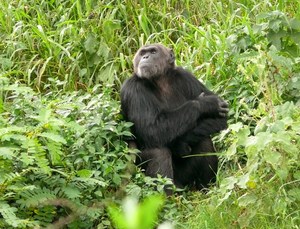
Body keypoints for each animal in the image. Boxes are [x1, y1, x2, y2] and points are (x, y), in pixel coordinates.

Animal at [119, 43, 227, 191]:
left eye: (153, 52)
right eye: (142, 53)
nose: (145, 57)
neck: (160, 80)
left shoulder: (187, 77)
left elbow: (219, 120)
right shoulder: (133, 89)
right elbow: (152, 129)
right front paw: (207, 104)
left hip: (186, 181)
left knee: (204, 140)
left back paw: (206, 189)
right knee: (158, 152)